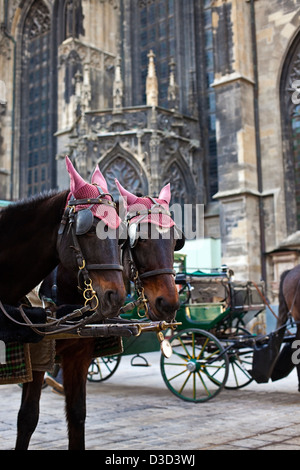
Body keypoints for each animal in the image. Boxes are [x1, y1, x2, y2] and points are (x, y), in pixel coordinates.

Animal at [15, 182, 185, 450]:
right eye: (139, 241)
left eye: (175, 241)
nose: (169, 302)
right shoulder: (38, 355)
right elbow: (28, 418)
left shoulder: (80, 355)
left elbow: (77, 414)